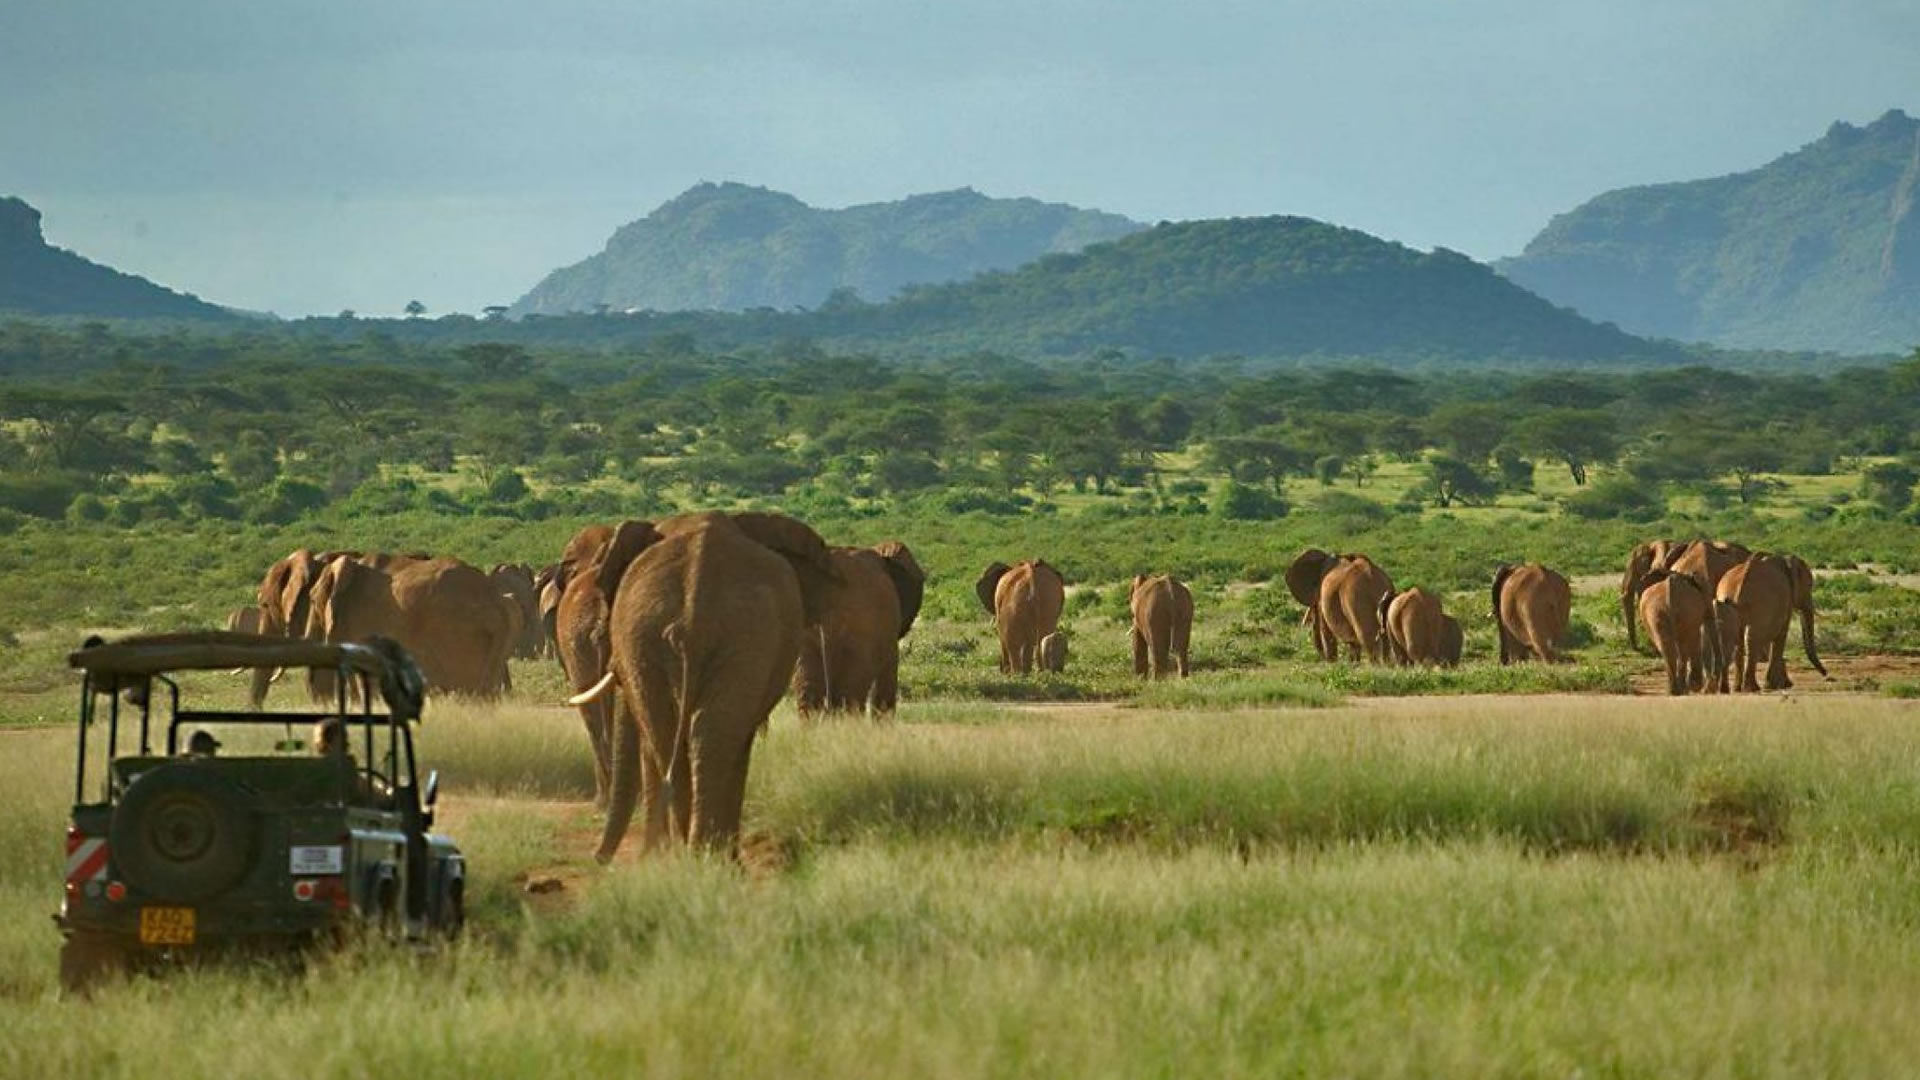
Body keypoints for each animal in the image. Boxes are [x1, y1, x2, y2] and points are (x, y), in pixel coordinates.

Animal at [567, 511, 836, 861]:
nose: (597, 859)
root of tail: (695, 611)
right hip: (668, 636)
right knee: (694, 737)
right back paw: (697, 855)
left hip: (716, 638)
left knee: (686, 737)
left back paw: (696, 855)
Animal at [1715, 553, 1827, 692]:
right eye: (1809, 586)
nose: (1826, 674)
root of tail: (1736, 589)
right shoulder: (1785, 601)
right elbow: (1781, 636)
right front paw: (1774, 686)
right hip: (1759, 604)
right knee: (1752, 638)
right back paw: (1752, 688)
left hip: (1724, 604)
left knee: (1730, 640)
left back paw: (1730, 689)